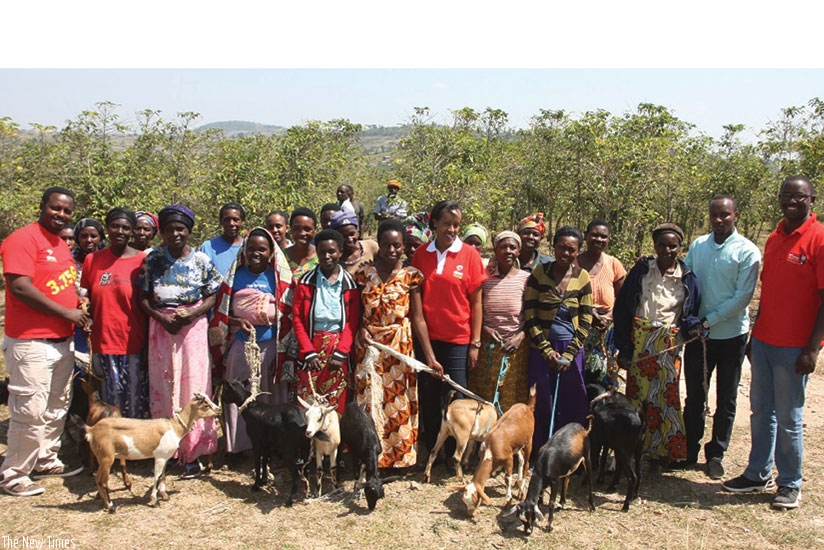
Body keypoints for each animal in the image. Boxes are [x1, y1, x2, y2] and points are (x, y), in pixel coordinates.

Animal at [85, 392, 220, 512]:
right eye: (206, 404)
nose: (219, 410)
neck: (174, 427)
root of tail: (91, 430)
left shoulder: (165, 457)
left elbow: (163, 475)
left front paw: (164, 495)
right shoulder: (159, 457)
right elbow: (157, 476)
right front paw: (154, 501)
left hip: (102, 459)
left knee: (97, 478)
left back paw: (105, 504)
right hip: (107, 458)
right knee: (103, 482)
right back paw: (111, 507)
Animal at [448, 386, 536, 520]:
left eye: (476, 499)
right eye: (464, 500)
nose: (470, 514)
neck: (490, 449)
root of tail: (527, 407)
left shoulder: (508, 458)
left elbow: (507, 478)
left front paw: (508, 499)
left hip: (529, 440)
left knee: (526, 463)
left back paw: (521, 491)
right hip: (518, 444)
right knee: (521, 460)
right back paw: (518, 481)